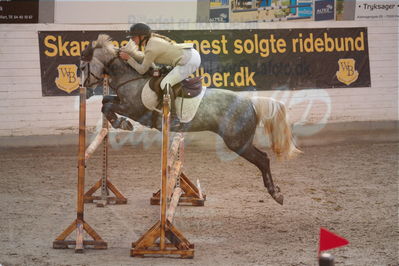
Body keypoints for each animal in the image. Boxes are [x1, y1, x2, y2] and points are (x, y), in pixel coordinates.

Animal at [80, 34, 300, 206]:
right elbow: (106, 102)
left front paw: (122, 123)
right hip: (240, 141)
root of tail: (250, 102)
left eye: (83, 67)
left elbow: (108, 106)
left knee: (263, 159)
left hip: (237, 142)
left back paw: (276, 193)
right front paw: (119, 121)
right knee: (263, 159)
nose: (85, 89)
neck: (132, 78)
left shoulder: (134, 109)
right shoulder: (123, 102)